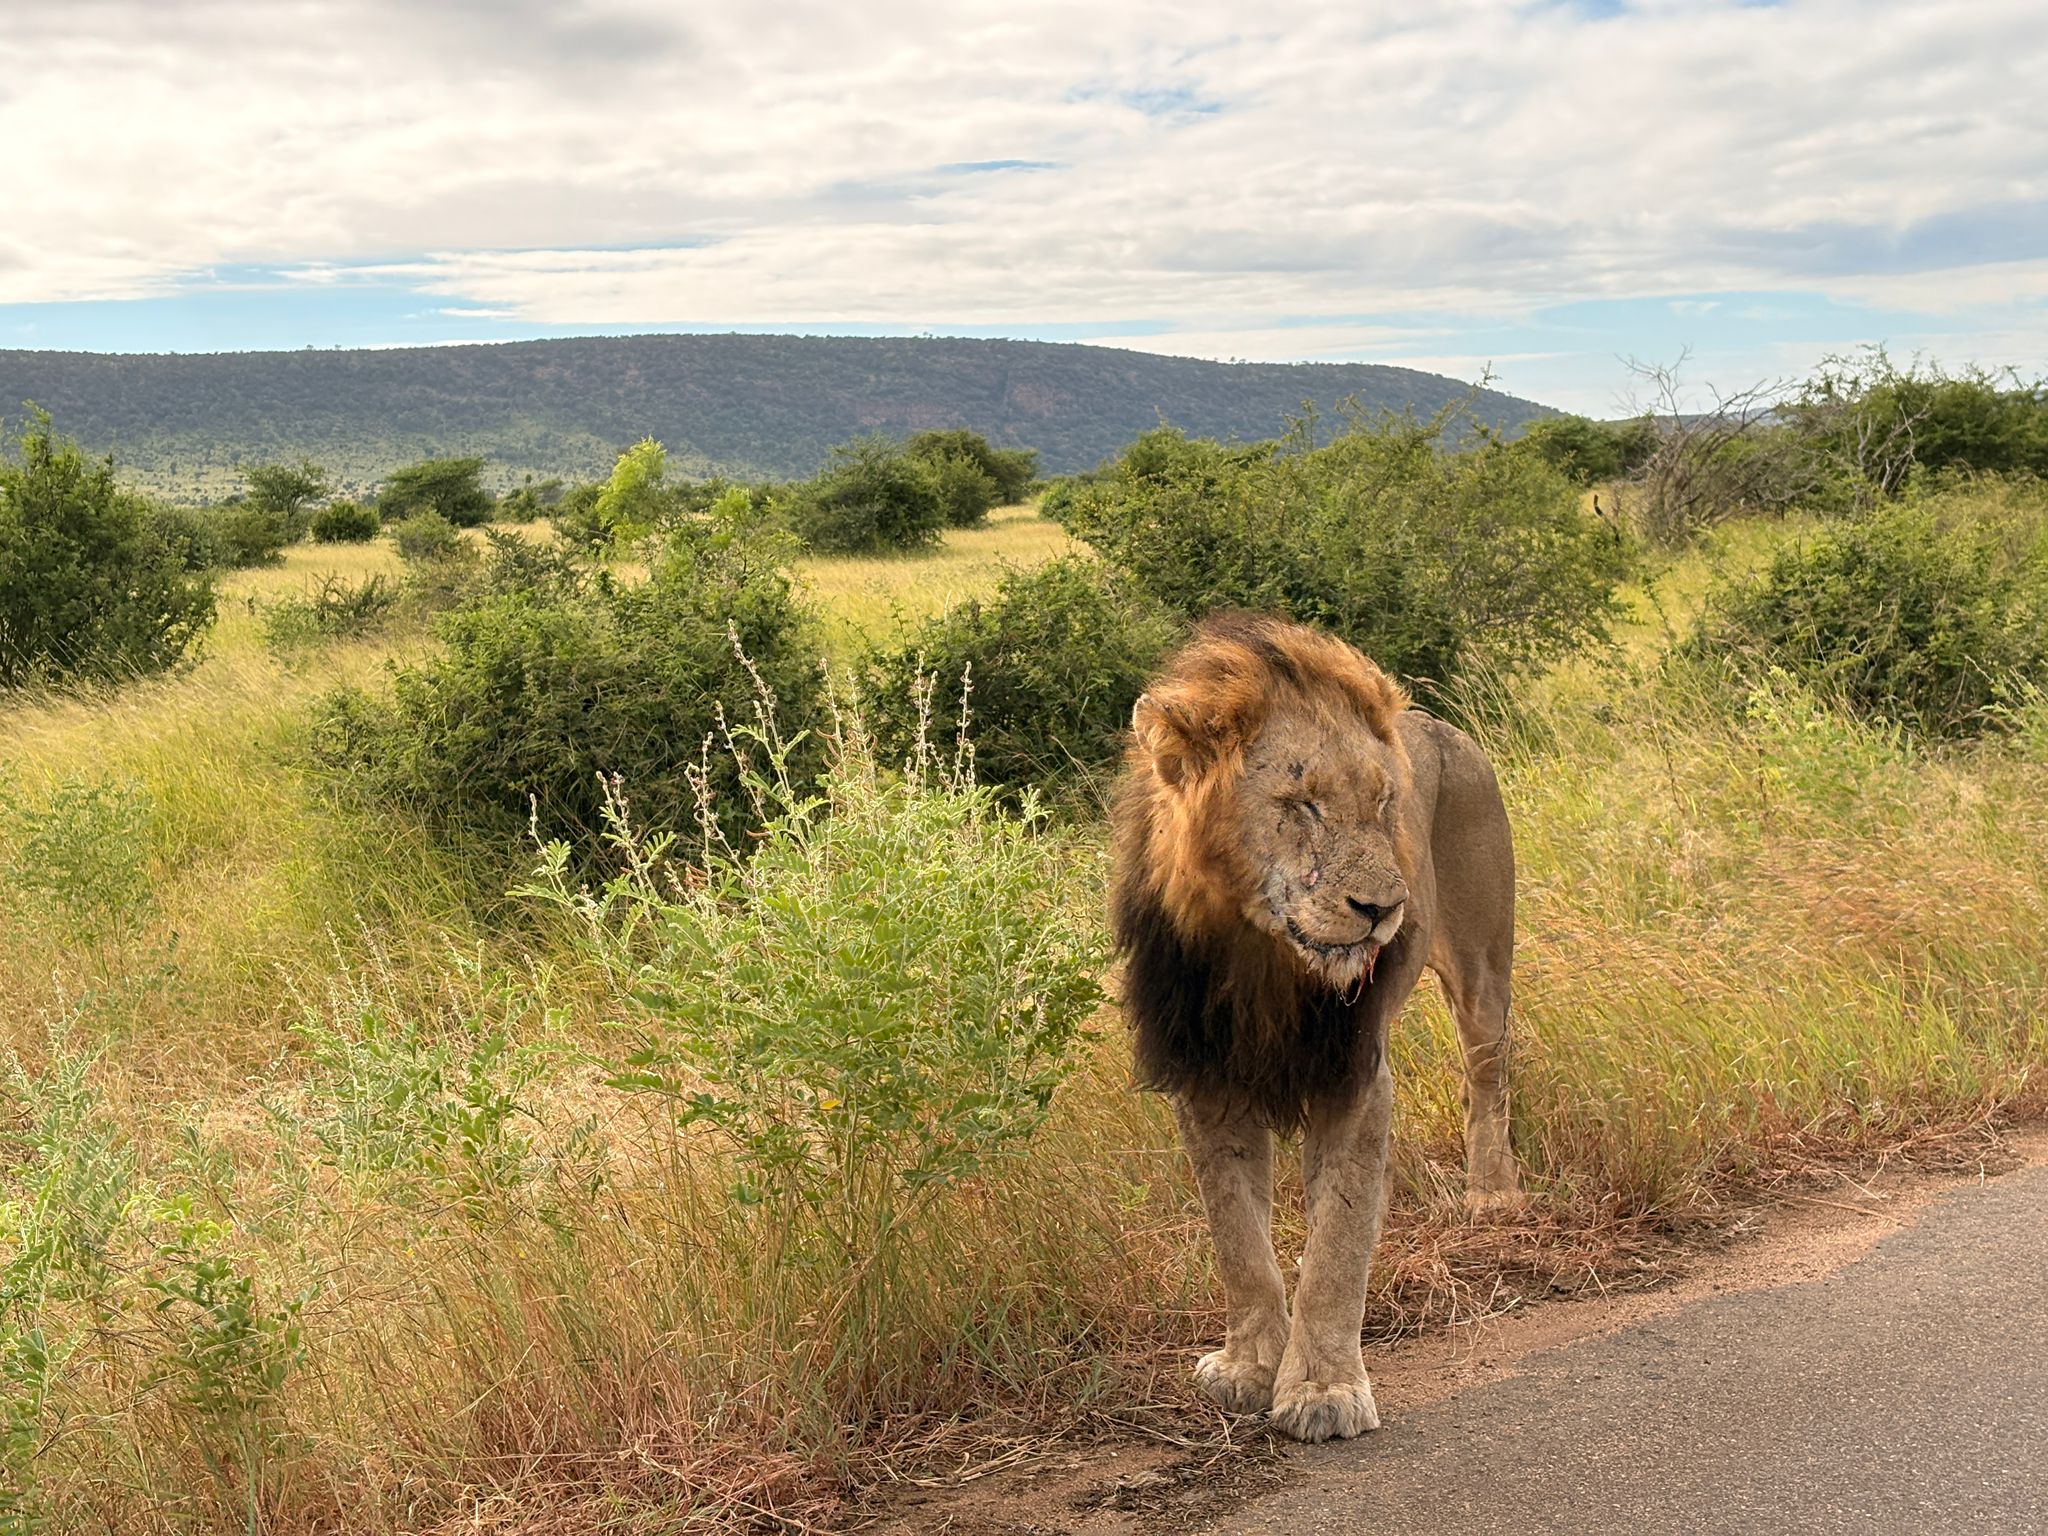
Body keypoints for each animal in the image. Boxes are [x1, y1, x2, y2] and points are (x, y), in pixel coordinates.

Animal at [1111, 612, 1519, 1443]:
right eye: (1301, 804)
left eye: (1386, 804)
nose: (1387, 909)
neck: (1261, 958)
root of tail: (1445, 726)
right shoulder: (1206, 1079)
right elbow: (1237, 1239)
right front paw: (1248, 1368)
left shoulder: (1354, 1076)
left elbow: (1336, 1245)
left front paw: (1323, 1390)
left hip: (1484, 966)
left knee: (1487, 1076)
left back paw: (1492, 1195)